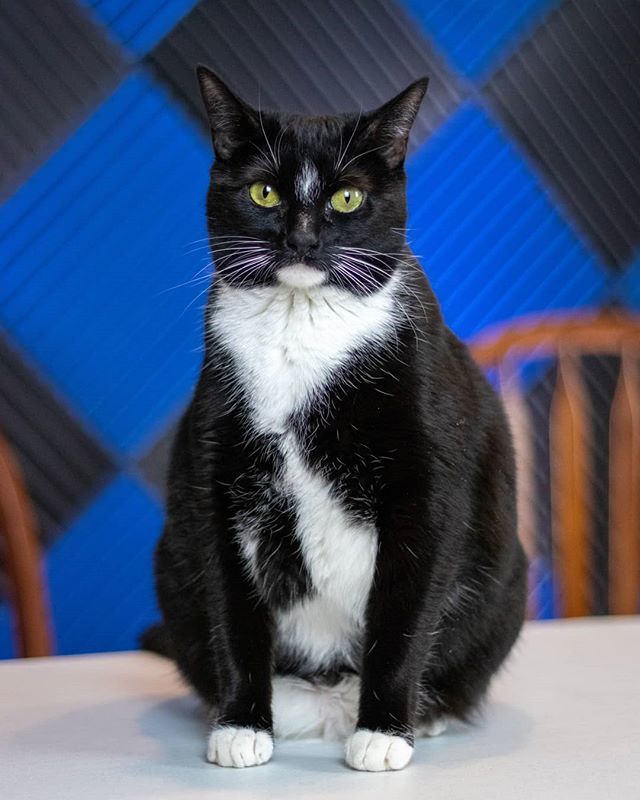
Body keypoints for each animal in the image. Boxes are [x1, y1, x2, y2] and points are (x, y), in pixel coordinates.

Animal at [148, 65, 528, 772]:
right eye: (265, 192)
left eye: (348, 198)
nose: (301, 239)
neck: (301, 332)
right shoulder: (217, 472)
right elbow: (232, 609)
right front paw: (241, 724)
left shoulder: (426, 484)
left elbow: (404, 613)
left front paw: (383, 733)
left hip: (505, 582)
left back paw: (421, 714)